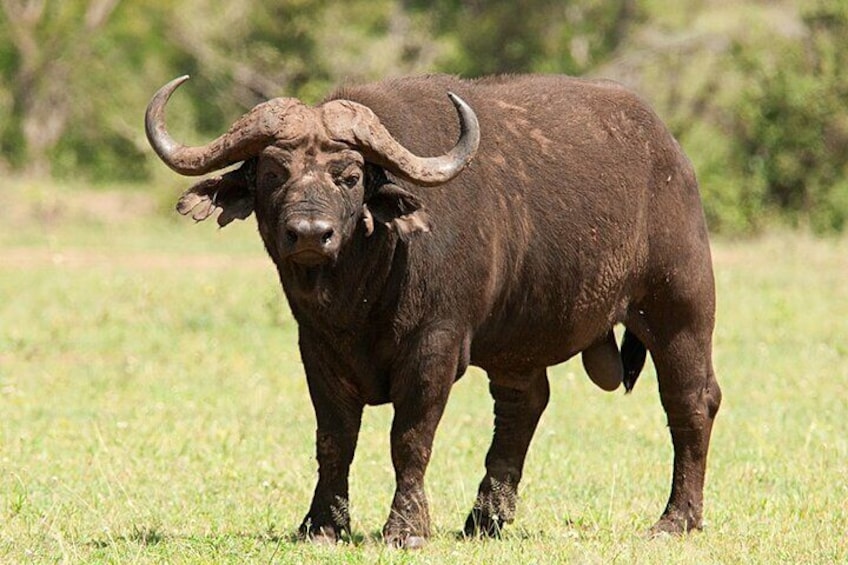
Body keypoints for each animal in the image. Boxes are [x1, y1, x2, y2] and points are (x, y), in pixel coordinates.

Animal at [145, 73, 721, 548]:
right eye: (272, 173)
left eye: (350, 176)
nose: (310, 234)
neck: (362, 289)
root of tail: (672, 154)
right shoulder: (317, 348)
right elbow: (334, 439)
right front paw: (322, 525)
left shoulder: (435, 345)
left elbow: (409, 437)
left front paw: (406, 528)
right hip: (518, 344)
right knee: (522, 407)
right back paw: (485, 520)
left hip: (679, 308)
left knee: (691, 401)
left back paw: (676, 520)